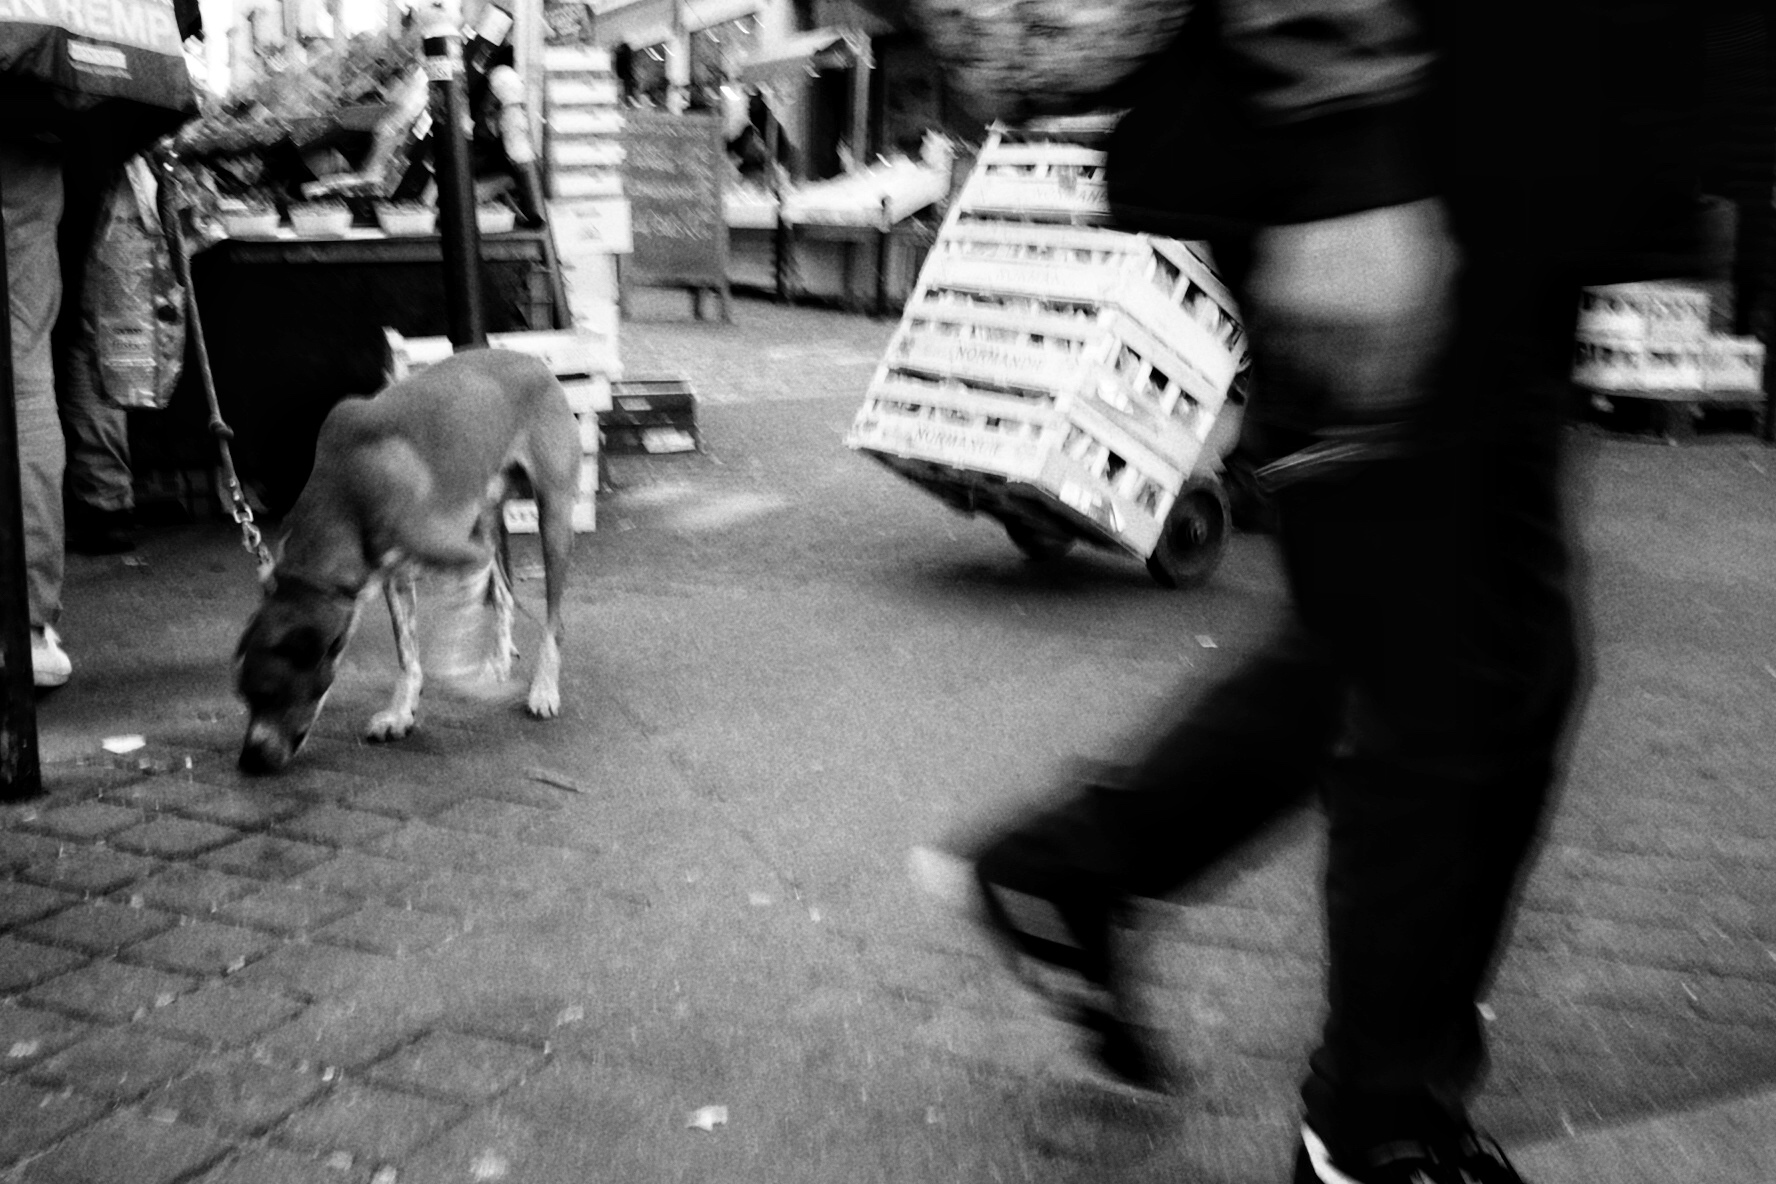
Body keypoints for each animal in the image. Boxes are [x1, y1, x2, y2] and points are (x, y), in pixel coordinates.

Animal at [232, 349, 578, 777]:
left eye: (269, 693)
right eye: (244, 697)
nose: (248, 761)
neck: (349, 491)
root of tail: (531, 360)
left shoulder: (468, 559)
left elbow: (453, 635)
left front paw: (464, 679)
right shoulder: (393, 576)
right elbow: (408, 653)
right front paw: (401, 712)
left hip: (553, 517)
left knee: (551, 619)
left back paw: (543, 687)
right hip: (486, 517)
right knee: (504, 595)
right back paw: (499, 661)